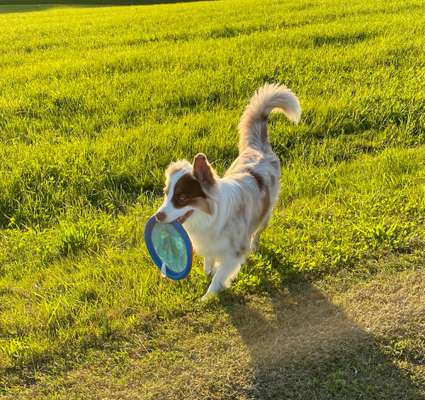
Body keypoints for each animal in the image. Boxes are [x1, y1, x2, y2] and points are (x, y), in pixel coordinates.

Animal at [154, 83, 300, 298]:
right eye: (166, 193)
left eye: (181, 197)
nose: (157, 217)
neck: (210, 218)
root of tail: (258, 148)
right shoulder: (209, 244)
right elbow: (209, 262)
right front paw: (208, 271)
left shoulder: (234, 252)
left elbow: (219, 276)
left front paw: (208, 297)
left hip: (265, 214)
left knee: (257, 232)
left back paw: (254, 246)